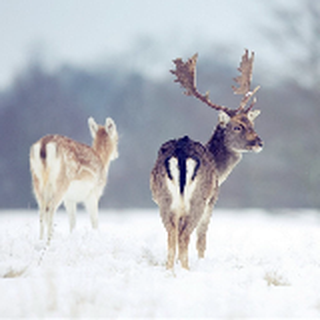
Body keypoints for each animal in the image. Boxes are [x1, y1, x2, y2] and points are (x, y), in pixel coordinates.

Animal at [151, 50, 264, 270]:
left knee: (171, 235)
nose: (259, 142)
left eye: (251, 123)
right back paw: (186, 269)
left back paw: (170, 270)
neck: (220, 170)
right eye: (237, 126)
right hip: (198, 199)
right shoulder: (212, 200)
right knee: (185, 235)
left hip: (164, 199)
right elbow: (202, 240)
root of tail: (181, 153)